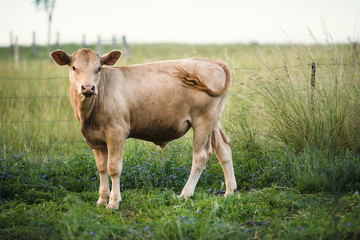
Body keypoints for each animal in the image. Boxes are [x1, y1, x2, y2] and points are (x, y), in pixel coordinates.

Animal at [50, 48, 236, 210]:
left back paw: (185, 194)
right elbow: (101, 168)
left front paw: (113, 203)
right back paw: (230, 192)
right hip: (213, 120)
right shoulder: (97, 140)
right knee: (223, 148)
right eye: (74, 67)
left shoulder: (116, 133)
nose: (88, 88)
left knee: (200, 156)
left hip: (203, 120)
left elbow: (114, 168)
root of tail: (210, 60)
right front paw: (101, 200)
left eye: (99, 68)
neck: (89, 116)